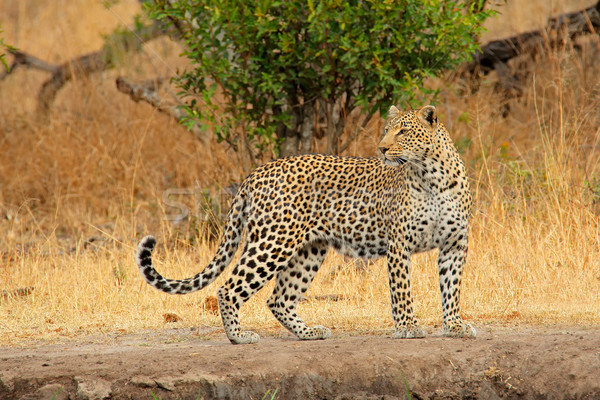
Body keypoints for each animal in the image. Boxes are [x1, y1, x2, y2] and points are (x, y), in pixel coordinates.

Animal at [135, 105, 474, 344]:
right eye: (387, 131)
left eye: (403, 131)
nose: (382, 148)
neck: (432, 176)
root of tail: (255, 173)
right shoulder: (399, 243)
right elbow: (402, 288)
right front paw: (408, 327)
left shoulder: (455, 243)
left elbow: (452, 286)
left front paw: (455, 326)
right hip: (273, 242)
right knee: (229, 288)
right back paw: (239, 336)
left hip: (308, 250)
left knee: (280, 298)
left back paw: (308, 332)